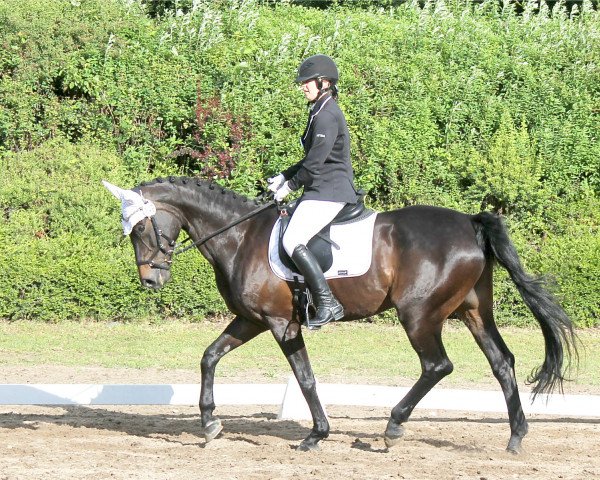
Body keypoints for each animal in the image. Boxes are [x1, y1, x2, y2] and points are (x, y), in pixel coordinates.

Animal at [104, 176, 576, 454]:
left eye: (141, 228)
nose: (151, 280)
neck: (240, 236)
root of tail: (470, 222)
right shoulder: (251, 320)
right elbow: (209, 356)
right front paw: (209, 423)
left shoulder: (282, 323)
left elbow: (305, 376)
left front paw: (316, 435)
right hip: (473, 311)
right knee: (502, 363)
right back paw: (516, 437)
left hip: (420, 314)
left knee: (437, 365)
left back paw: (393, 427)